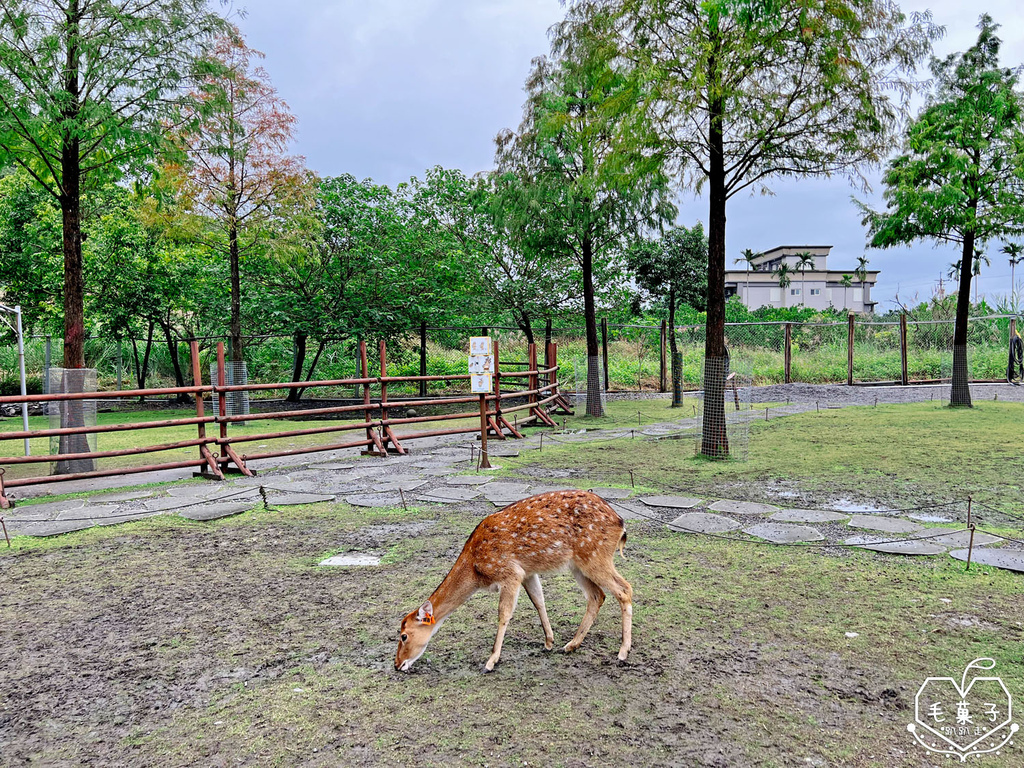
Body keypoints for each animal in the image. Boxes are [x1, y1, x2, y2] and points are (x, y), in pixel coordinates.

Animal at [393, 493, 626, 671]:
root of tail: (621, 524)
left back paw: (623, 651)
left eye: (404, 636)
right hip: (578, 564)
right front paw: (549, 641)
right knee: (597, 595)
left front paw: (491, 661)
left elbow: (504, 613)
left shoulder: (510, 573)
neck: (475, 568)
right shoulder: (527, 572)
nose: (397, 664)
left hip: (595, 556)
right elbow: (538, 601)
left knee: (624, 590)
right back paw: (571, 645)